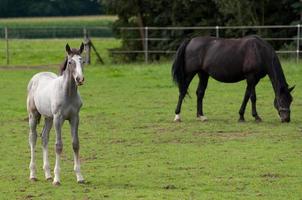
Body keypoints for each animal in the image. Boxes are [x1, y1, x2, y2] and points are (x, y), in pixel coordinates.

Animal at [27, 43, 85, 185]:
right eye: (70, 62)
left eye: (82, 61)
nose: (80, 79)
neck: (68, 93)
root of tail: (38, 75)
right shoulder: (58, 119)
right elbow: (58, 146)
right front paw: (57, 178)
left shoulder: (75, 118)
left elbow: (75, 144)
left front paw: (80, 177)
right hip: (33, 115)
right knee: (33, 138)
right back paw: (33, 175)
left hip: (48, 118)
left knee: (44, 137)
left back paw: (48, 174)